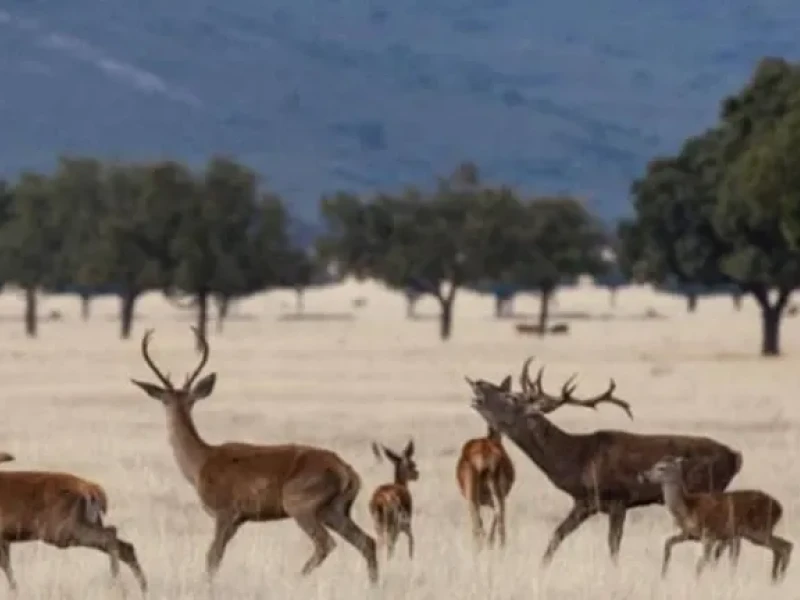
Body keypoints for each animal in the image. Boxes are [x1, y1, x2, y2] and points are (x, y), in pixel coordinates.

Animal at [0, 450, 148, 592]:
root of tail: (92, 490)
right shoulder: (5, 539)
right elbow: (7, 567)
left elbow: (6, 567)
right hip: (88, 522)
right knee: (125, 545)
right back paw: (141, 587)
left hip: (62, 530)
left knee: (111, 534)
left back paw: (116, 582)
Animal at [130, 328, 380, 584]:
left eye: (168, 400)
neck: (200, 463)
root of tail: (347, 472)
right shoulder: (238, 519)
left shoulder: (226, 513)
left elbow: (212, 557)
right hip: (335, 509)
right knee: (367, 541)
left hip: (300, 504)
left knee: (326, 543)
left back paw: (295, 578)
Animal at [468, 356, 744, 568]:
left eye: (511, 398)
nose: (479, 383)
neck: (576, 459)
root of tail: (735, 456)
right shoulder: (584, 502)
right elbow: (556, 535)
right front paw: (541, 567)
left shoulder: (619, 498)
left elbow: (613, 545)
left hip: (708, 487)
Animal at [640, 454, 792, 580]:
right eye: (655, 464)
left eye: (662, 468)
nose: (645, 475)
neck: (688, 508)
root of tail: (780, 508)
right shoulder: (689, 534)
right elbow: (668, 544)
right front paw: (663, 574)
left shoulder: (709, 534)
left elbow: (701, 563)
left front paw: (696, 581)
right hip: (758, 531)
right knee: (783, 547)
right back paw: (776, 577)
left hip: (758, 529)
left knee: (785, 546)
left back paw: (779, 577)